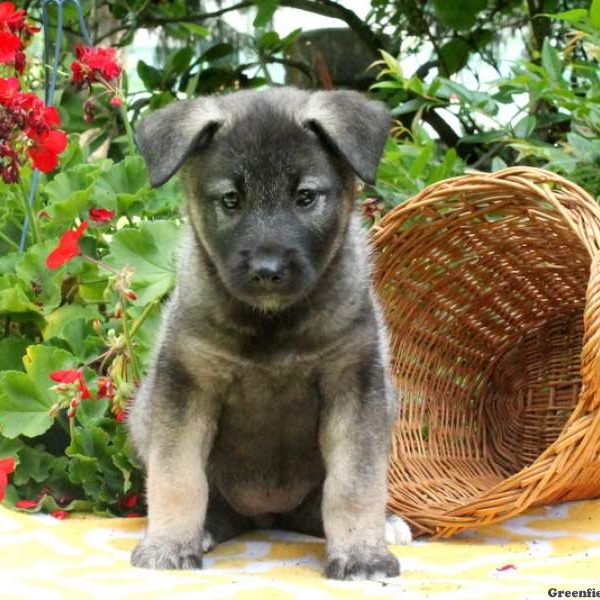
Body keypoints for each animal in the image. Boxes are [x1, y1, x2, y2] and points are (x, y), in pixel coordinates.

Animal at [126, 86, 408, 580]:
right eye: (231, 200)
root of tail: (266, 514)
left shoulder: (354, 385)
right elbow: (176, 476)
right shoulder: (187, 385)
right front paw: (168, 545)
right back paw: (204, 530)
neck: (273, 326)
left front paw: (361, 553)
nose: (267, 271)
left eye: (305, 196)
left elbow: (354, 484)